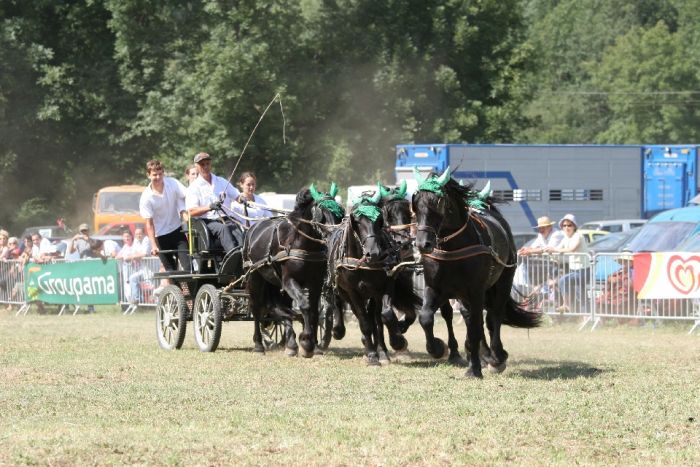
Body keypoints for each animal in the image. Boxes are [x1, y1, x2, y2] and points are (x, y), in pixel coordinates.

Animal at [245, 184, 346, 358]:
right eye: (322, 214)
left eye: (340, 212)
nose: (335, 235)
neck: (302, 244)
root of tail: (253, 228)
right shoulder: (289, 280)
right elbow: (305, 305)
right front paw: (306, 341)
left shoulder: (315, 282)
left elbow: (313, 310)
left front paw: (313, 344)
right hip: (255, 277)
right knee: (257, 308)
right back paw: (259, 345)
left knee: (282, 308)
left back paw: (291, 344)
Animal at [410, 168, 540, 380]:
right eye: (415, 204)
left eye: (438, 203)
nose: (423, 244)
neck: (452, 249)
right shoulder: (435, 288)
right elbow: (426, 317)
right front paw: (437, 348)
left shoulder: (476, 291)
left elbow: (476, 328)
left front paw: (475, 368)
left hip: (503, 282)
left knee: (494, 316)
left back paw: (496, 356)